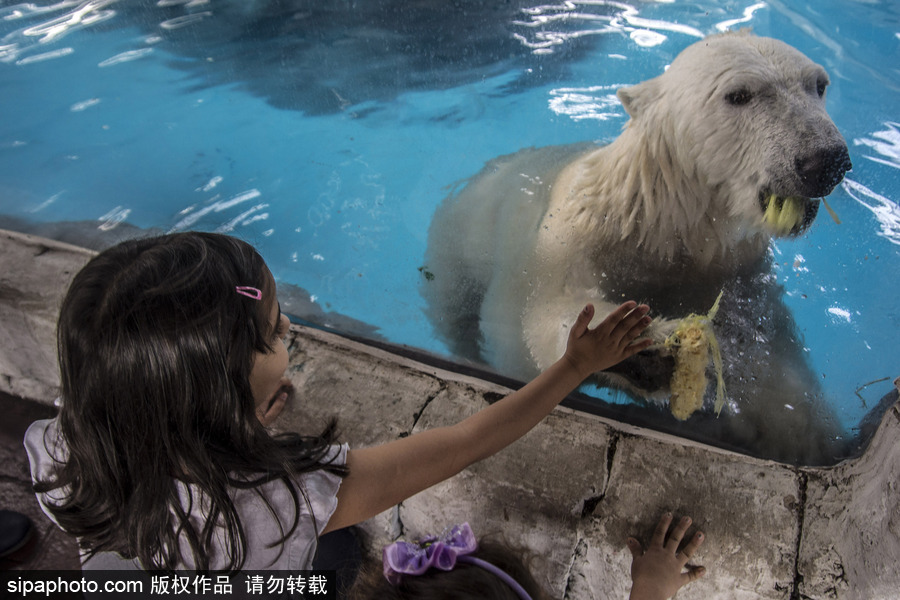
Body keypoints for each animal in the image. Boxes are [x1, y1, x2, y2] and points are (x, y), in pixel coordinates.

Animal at [422, 30, 852, 466]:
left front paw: (808, 437)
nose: (825, 160)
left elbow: (774, 359)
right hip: (457, 240)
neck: (666, 224)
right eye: (739, 94)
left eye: (819, 85)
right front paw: (641, 348)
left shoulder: (737, 267)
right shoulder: (573, 235)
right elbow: (539, 314)